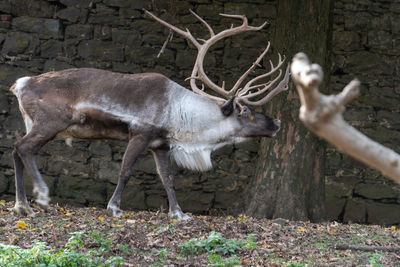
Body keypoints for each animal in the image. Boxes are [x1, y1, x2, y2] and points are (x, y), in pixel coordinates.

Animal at [9, 9, 290, 221]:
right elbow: (125, 170)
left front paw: (178, 213)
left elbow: (168, 179)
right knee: (23, 148)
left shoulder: (161, 145)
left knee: (17, 150)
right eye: (247, 111)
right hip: (50, 121)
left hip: (34, 123)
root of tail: (20, 84)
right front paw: (114, 208)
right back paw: (41, 195)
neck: (181, 116)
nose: (277, 122)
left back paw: (22, 206)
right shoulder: (140, 133)